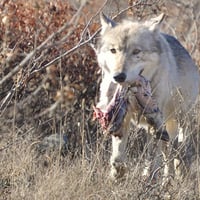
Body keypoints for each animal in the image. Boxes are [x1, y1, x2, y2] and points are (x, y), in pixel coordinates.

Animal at [94, 12, 199, 181]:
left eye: (136, 51)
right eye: (113, 50)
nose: (118, 76)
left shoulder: (154, 121)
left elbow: (151, 156)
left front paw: (147, 178)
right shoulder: (121, 118)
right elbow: (118, 156)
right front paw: (117, 174)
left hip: (180, 119)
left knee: (178, 149)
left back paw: (176, 174)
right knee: (167, 151)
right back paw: (167, 181)